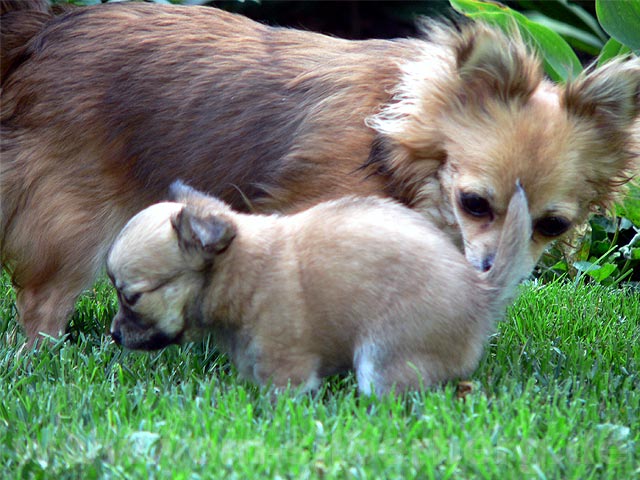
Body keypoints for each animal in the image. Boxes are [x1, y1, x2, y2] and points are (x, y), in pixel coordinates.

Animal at [1, 1, 638, 346]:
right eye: (475, 204)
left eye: (552, 226)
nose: (490, 270)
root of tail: (47, 30)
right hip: (75, 220)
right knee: (41, 305)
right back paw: (44, 356)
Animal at [108, 182, 534, 394]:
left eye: (131, 297)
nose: (113, 334)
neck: (242, 270)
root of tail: (479, 291)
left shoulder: (287, 366)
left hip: (382, 357)